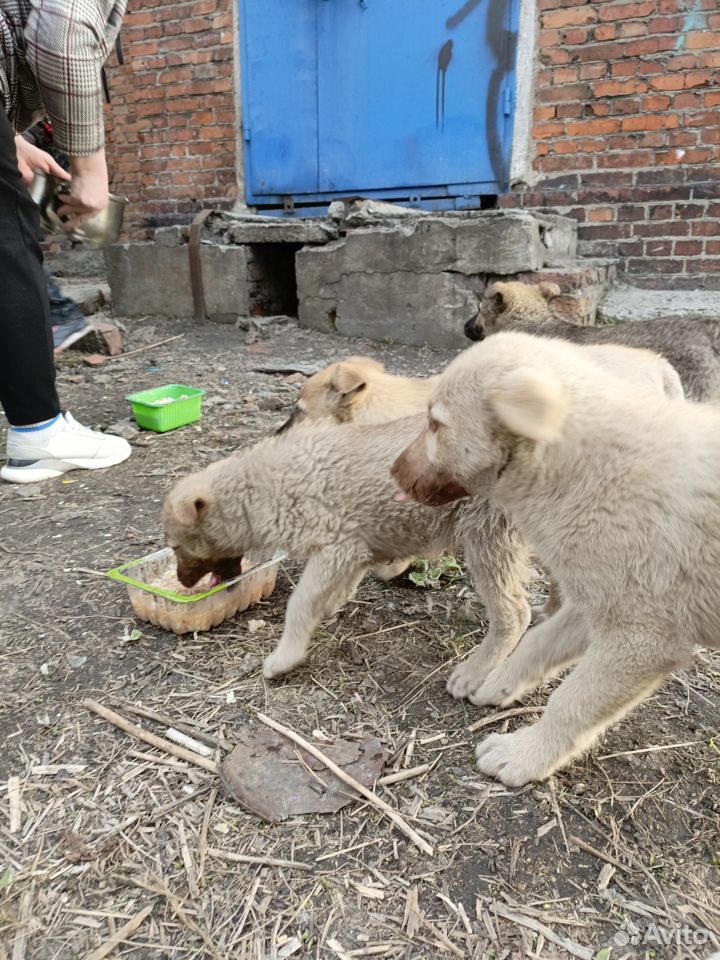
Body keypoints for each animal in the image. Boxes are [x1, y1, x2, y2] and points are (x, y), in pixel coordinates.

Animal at [390, 334, 716, 784]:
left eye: (436, 423)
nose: (392, 471)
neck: (589, 468)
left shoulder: (642, 638)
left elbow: (571, 702)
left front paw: (522, 755)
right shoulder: (596, 600)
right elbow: (537, 643)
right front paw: (497, 683)